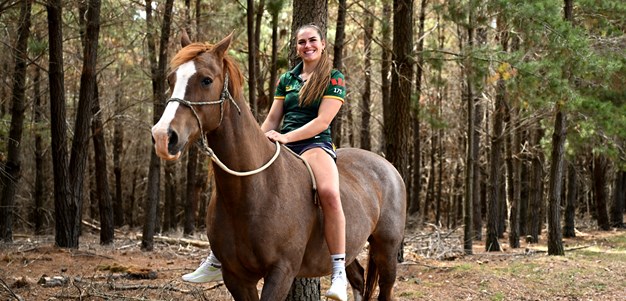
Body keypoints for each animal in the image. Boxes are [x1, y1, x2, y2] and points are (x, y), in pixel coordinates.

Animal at [151, 31, 404, 298]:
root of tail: (387, 166)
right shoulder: (236, 277)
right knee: (356, 277)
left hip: (386, 249)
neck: (253, 190)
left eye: (206, 80)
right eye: (170, 79)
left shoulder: (281, 272)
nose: (163, 136)